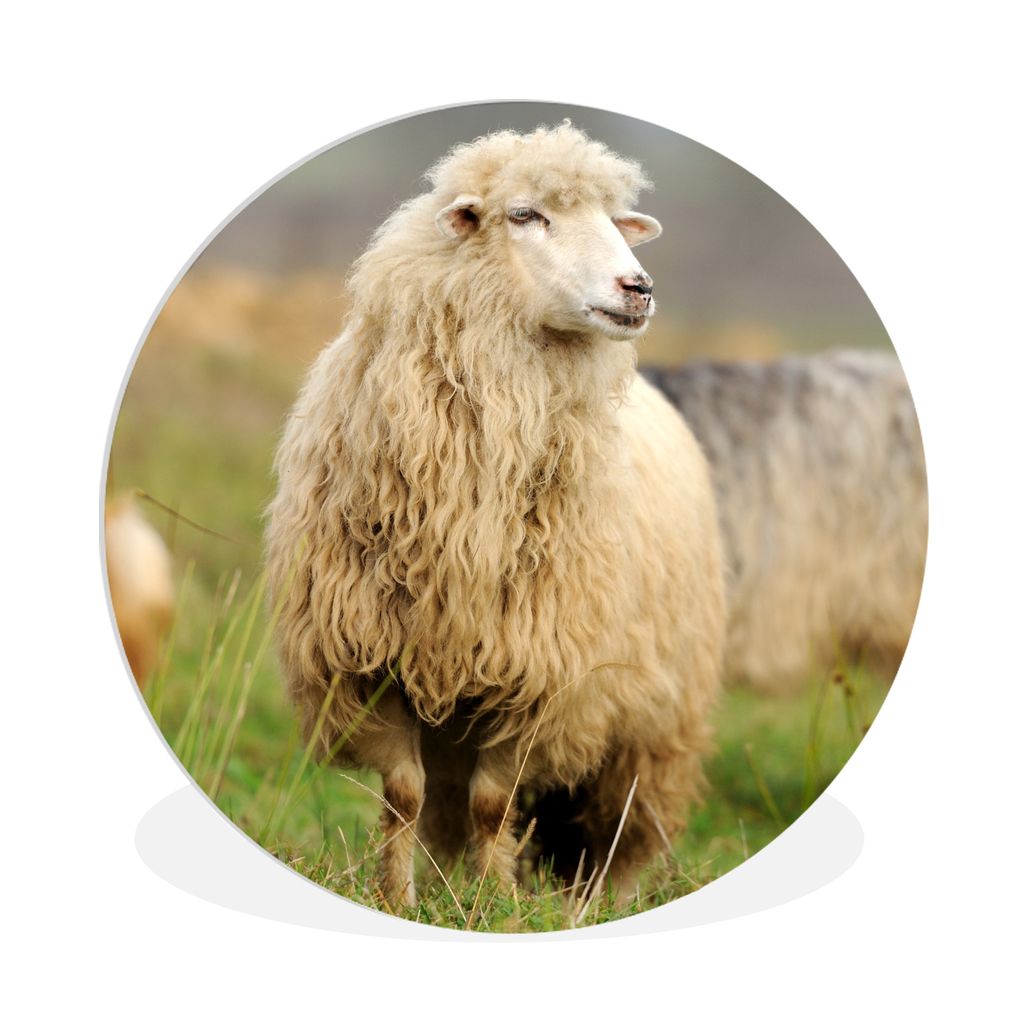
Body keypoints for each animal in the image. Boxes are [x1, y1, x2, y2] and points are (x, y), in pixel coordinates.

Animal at [265, 122, 725, 909]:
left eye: (614, 219)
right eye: (524, 215)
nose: (638, 288)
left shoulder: (541, 674)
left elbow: (494, 804)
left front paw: (495, 909)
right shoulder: (370, 662)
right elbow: (404, 796)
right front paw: (402, 901)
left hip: (656, 718)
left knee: (625, 825)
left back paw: (597, 903)